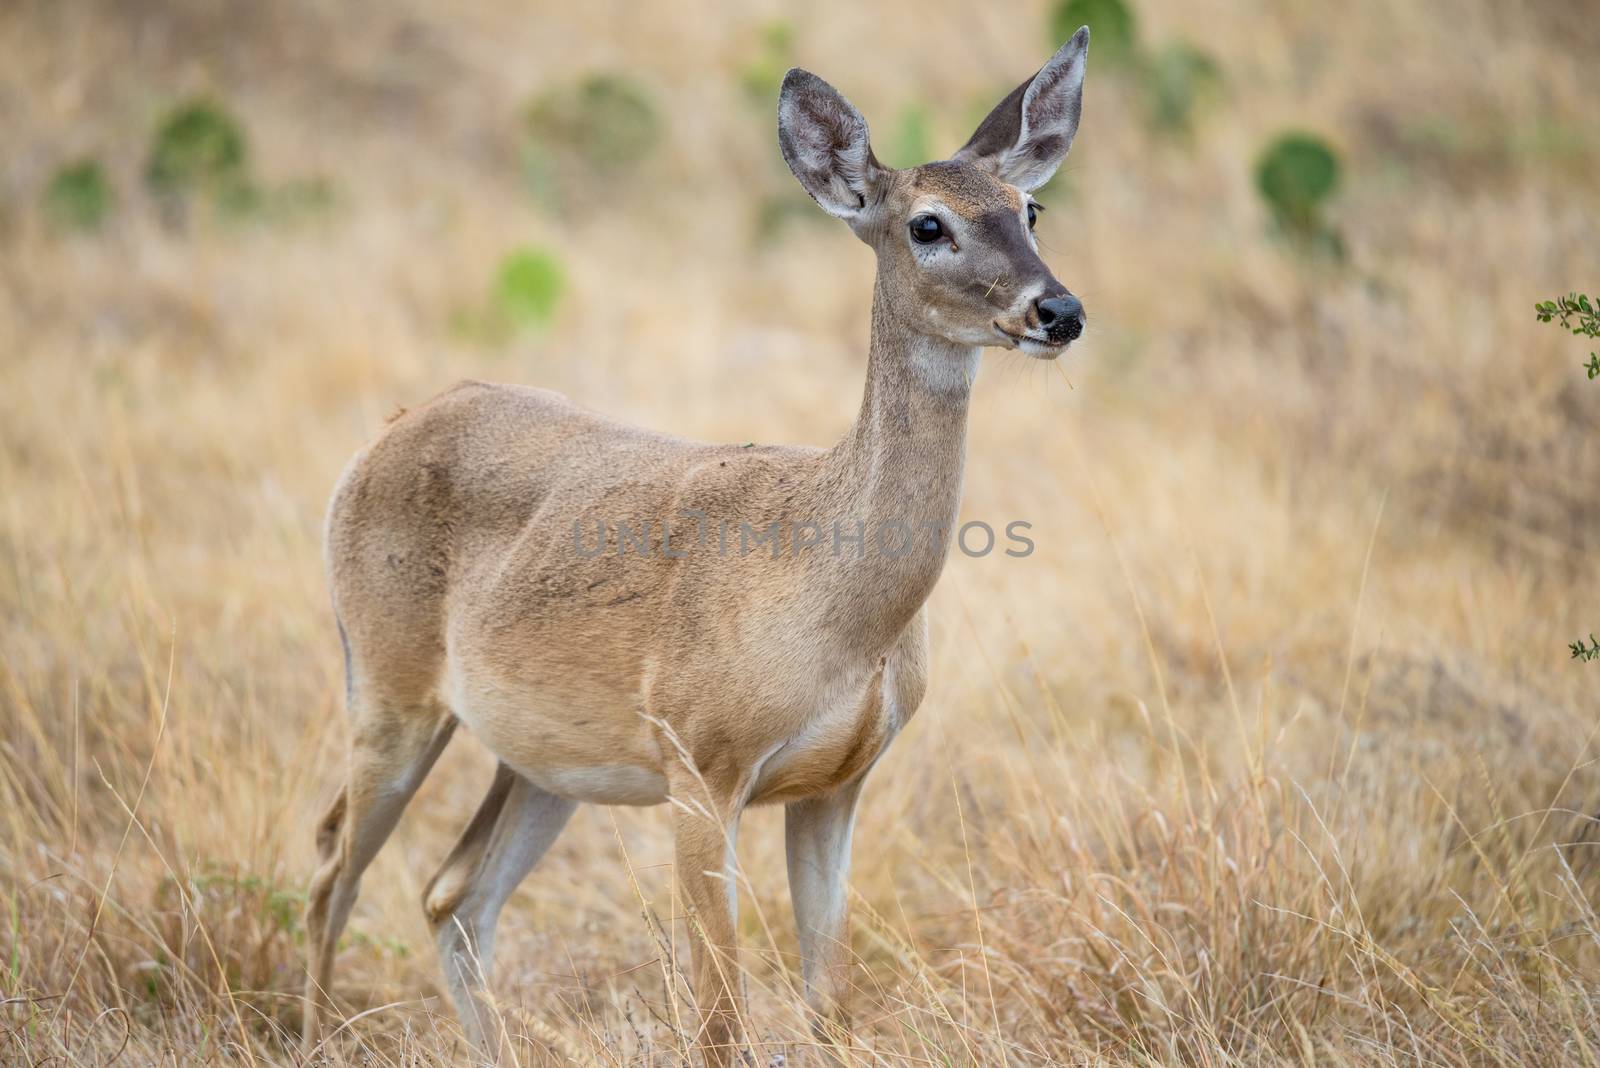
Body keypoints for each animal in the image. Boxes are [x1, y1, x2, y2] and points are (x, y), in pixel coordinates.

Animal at [302, 29, 1088, 1061]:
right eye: (927, 225)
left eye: (1030, 207)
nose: (1058, 311)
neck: (834, 602)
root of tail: (379, 438)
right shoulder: (700, 766)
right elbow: (719, 1018)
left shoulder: (838, 784)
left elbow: (830, 1003)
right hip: (387, 687)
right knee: (332, 867)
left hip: (542, 758)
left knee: (452, 894)